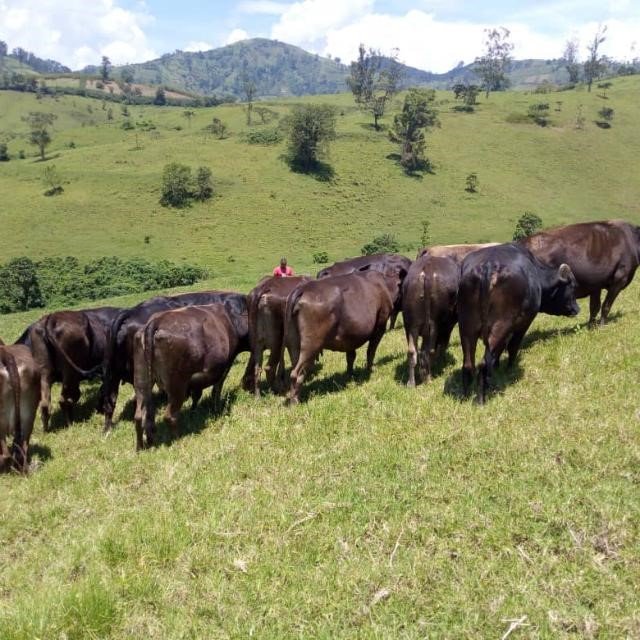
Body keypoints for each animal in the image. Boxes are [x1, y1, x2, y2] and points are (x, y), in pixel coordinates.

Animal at [132, 302, 247, 450]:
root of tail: (156, 321)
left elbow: (197, 394)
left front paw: (194, 410)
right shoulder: (224, 367)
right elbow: (216, 390)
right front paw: (216, 409)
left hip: (142, 381)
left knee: (139, 416)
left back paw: (140, 447)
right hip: (177, 384)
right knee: (170, 415)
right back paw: (178, 440)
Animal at [284, 269, 400, 404]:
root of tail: (303, 288)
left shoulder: (350, 336)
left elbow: (351, 357)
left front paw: (350, 375)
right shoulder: (380, 326)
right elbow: (371, 351)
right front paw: (369, 370)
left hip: (294, 343)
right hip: (311, 344)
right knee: (296, 373)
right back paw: (295, 401)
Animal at [402, 255, 460, 387]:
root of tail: (427, 270)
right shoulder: (447, 327)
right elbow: (442, 345)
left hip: (411, 325)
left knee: (412, 352)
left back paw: (411, 383)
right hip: (434, 324)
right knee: (429, 351)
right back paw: (428, 378)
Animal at [458, 243, 579, 404]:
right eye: (572, 287)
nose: (577, 308)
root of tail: (488, 265)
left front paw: (496, 366)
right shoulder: (523, 324)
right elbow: (512, 346)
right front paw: (509, 369)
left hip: (466, 327)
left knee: (468, 364)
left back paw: (465, 396)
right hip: (501, 325)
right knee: (483, 363)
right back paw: (481, 398)